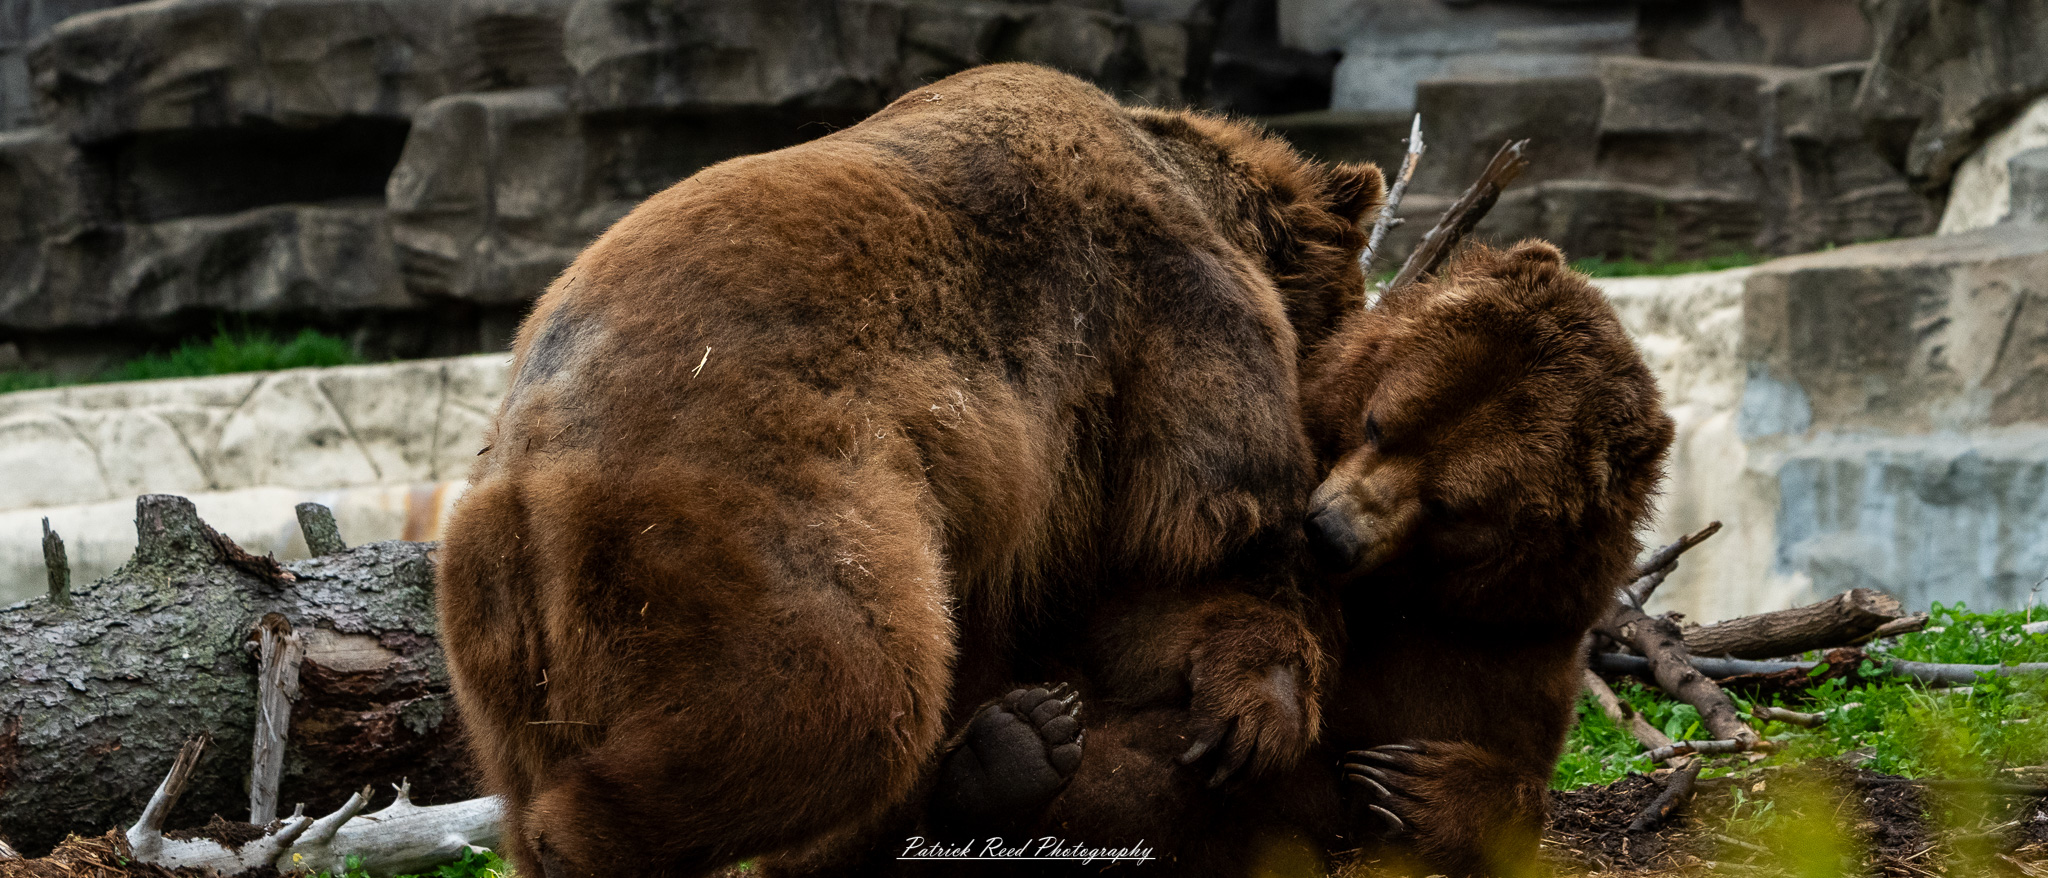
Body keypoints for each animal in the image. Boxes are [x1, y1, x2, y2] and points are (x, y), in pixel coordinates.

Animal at [432, 62, 1386, 878]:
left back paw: (1006, 756)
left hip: (504, 658)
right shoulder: (1160, 309)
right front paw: (1252, 709)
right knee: (841, 699)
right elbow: (1207, 525)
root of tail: (527, 495)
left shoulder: (1033, 495)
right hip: (743, 518)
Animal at [939, 241, 1674, 878]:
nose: (1330, 532)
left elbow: (1498, 770)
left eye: (1451, 504)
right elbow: (1148, 617)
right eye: (1380, 423)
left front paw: (1410, 784)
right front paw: (1259, 704)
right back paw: (1012, 749)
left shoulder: (1511, 646)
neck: (1399, 591)